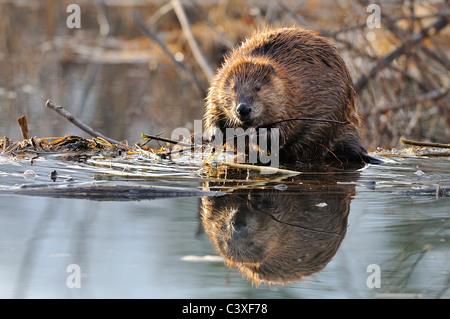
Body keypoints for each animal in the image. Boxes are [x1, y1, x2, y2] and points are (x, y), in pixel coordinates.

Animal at [205, 27, 380, 165]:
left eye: (258, 88)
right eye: (233, 87)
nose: (243, 109)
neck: (285, 82)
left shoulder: (290, 103)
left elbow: (282, 131)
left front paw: (257, 133)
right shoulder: (217, 84)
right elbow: (213, 114)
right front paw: (216, 135)